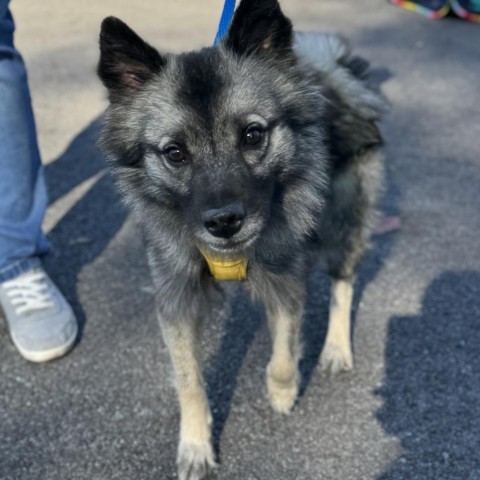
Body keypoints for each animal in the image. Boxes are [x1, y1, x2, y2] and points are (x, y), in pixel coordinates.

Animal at [96, 0, 386, 480]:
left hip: (344, 220)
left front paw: (282, 392)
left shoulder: (287, 282)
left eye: (253, 135)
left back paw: (336, 349)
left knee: (343, 282)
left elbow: (284, 351)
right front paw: (195, 444)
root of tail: (330, 72)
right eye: (174, 152)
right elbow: (190, 380)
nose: (224, 222)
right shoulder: (177, 299)